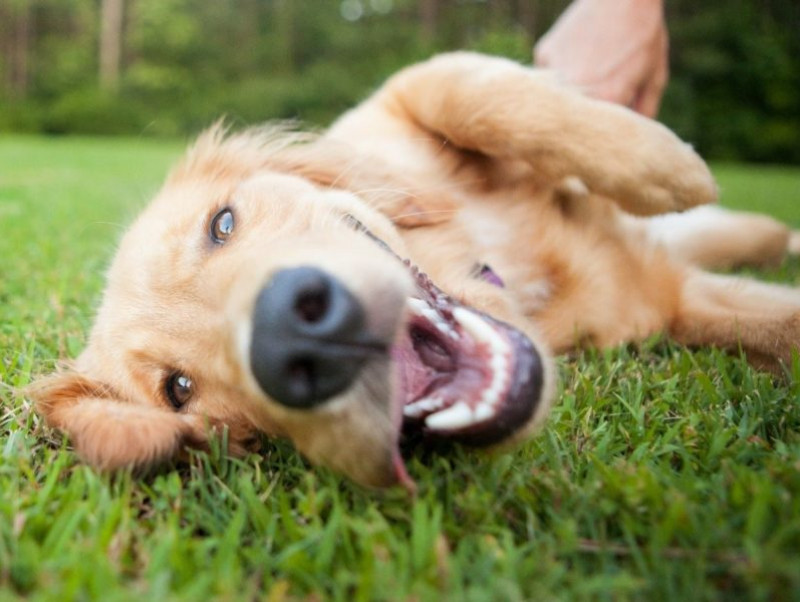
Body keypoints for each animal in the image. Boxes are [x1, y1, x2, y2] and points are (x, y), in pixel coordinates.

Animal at [29, 52, 800, 488]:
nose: (294, 336)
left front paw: (663, 164)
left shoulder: (401, 98)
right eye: (179, 390)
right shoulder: (668, 302)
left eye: (222, 224)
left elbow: (475, 91)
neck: (504, 273)